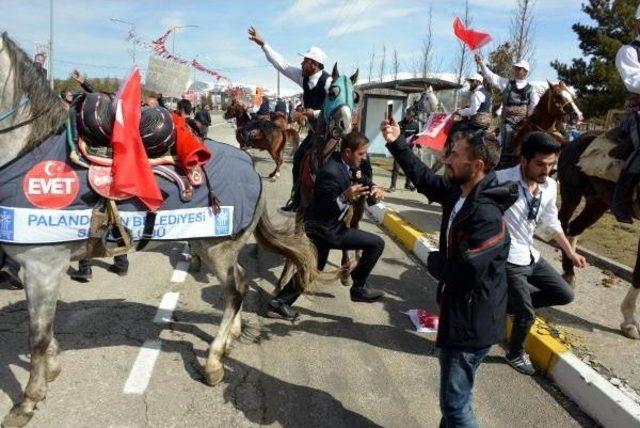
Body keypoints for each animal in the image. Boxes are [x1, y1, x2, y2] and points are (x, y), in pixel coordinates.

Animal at [0, 31, 322, 426]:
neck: (29, 153)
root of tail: (252, 168)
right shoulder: (39, 269)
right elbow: (43, 330)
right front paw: (51, 370)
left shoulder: (42, 265)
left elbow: (37, 337)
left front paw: (27, 401)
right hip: (213, 247)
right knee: (241, 282)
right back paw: (229, 339)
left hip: (216, 248)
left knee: (236, 289)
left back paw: (214, 362)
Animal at [556, 132, 640, 340]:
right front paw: (629, 323)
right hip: (572, 195)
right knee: (563, 223)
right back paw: (568, 273)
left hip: (598, 202)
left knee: (574, 228)